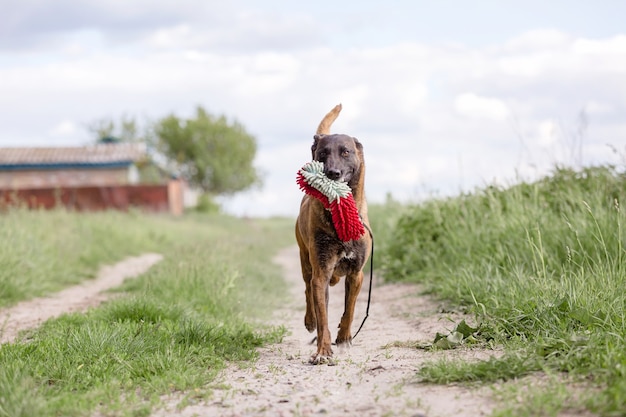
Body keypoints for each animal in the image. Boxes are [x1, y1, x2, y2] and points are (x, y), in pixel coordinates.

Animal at [294, 104, 370, 364]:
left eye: (345, 152)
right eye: (323, 153)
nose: (332, 173)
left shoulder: (356, 274)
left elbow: (350, 309)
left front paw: (344, 337)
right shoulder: (321, 274)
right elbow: (323, 317)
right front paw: (323, 350)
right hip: (306, 261)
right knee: (308, 291)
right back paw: (310, 321)